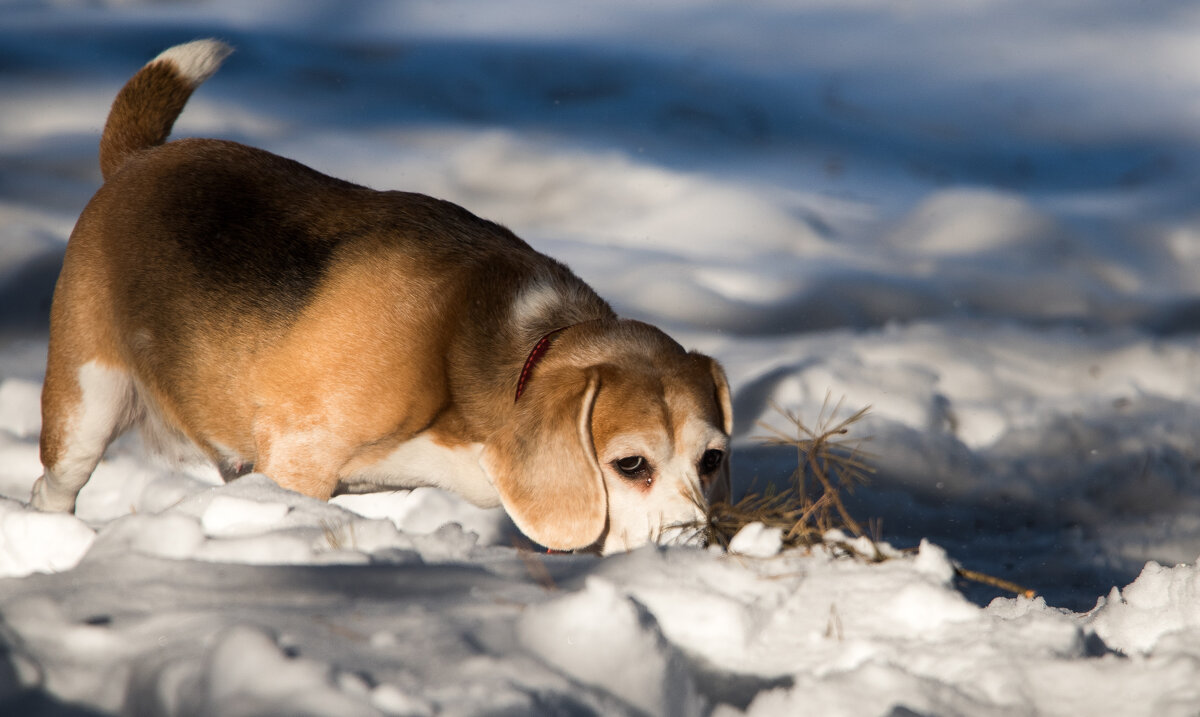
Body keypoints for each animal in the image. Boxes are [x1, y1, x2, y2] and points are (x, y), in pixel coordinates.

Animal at [32, 40, 729, 556]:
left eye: (714, 459)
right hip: (85, 405)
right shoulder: (300, 458)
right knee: (54, 489)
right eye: (631, 464)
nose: (695, 547)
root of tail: (138, 160)